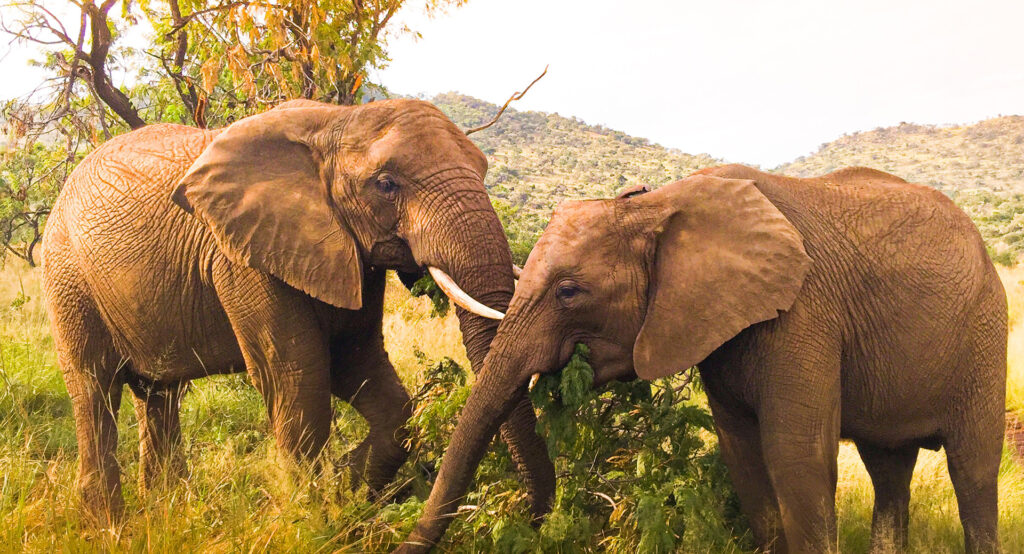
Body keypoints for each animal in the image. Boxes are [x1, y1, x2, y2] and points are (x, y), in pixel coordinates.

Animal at [40, 98, 554, 527]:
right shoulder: (243, 260)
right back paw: (110, 528)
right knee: (94, 386)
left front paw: (346, 487)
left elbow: (368, 378)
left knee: (160, 393)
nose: (532, 516)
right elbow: (296, 380)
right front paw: (317, 521)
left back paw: (170, 512)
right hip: (67, 276)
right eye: (386, 185)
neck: (335, 121)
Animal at [399, 164, 1007, 553]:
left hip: (984, 334)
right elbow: (744, 456)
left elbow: (797, 458)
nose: (532, 522)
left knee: (973, 472)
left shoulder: (805, 310)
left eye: (569, 292)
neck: (659, 204)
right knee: (889, 469)